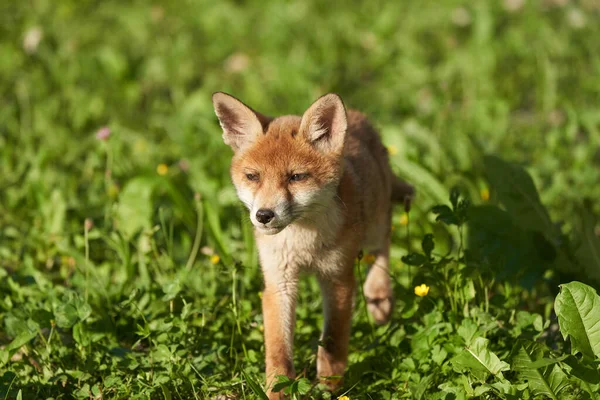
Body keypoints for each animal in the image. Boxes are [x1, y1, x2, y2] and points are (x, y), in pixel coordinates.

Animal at [211, 93, 412, 396]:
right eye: (253, 177)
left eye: (296, 177)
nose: (264, 215)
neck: (302, 243)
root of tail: (358, 116)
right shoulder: (278, 282)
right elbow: (278, 350)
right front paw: (278, 389)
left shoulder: (337, 277)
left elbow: (332, 341)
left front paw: (330, 385)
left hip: (375, 225)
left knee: (384, 242)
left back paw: (379, 295)